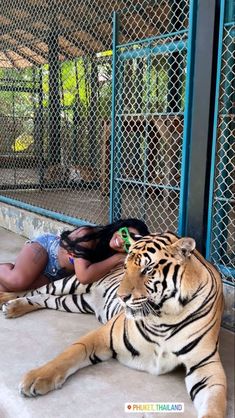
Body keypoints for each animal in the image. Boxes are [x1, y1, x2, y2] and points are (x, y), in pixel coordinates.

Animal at [0, 232, 228, 418]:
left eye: (147, 269)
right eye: (126, 267)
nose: (121, 297)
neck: (164, 316)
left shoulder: (205, 363)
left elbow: (215, 400)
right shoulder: (103, 335)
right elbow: (69, 354)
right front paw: (36, 378)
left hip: (74, 302)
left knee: (44, 298)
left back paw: (13, 307)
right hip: (71, 282)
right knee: (34, 290)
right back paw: (6, 299)